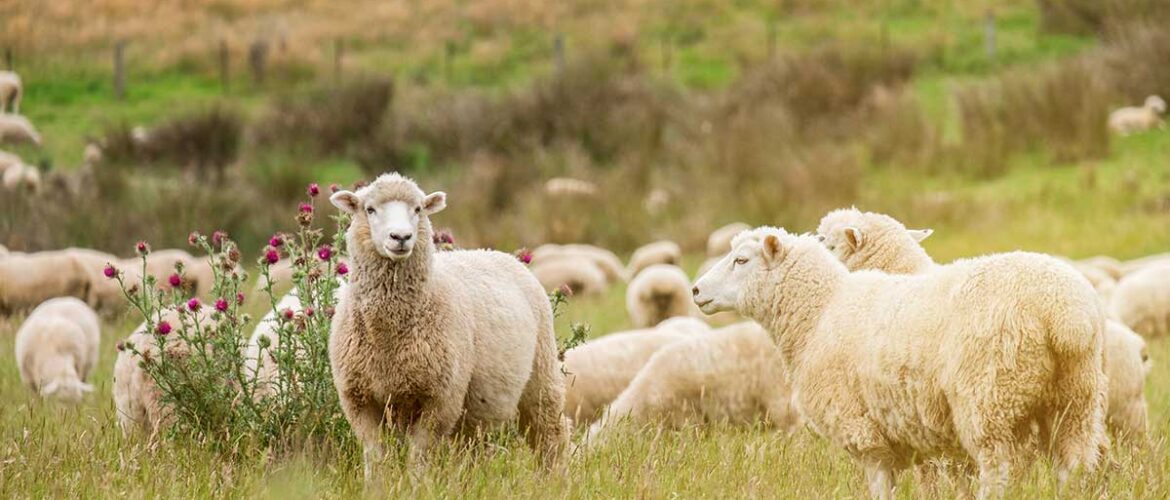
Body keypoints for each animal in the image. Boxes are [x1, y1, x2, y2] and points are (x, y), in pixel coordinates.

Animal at [327, 173, 568, 482]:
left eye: (418, 209)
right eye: (369, 209)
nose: (401, 237)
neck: (388, 338)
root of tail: (496, 253)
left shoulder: (439, 400)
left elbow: (419, 457)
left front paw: (416, 486)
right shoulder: (359, 399)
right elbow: (376, 457)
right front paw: (376, 487)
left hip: (541, 373)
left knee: (550, 432)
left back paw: (554, 479)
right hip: (475, 409)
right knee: (473, 449)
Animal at [692, 229, 1104, 498]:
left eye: (741, 260)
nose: (696, 290)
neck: (820, 312)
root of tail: (1064, 313)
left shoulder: (864, 431)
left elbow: (879, 488)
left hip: (989, 398)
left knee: (998, 471)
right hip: (1076, 400)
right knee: (1073, 468)